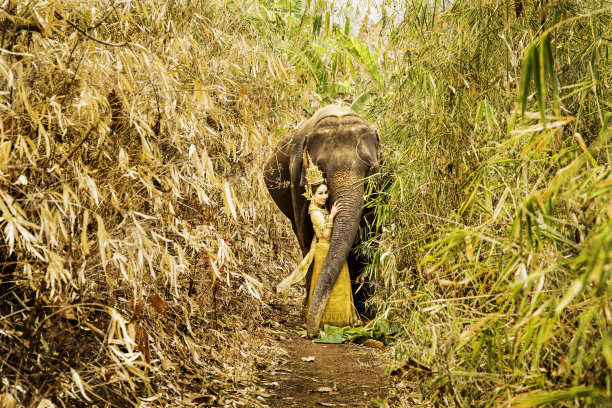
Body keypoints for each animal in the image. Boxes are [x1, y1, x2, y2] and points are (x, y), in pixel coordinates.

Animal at [262, 105, 378, 338]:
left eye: (370, 167)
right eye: (321, 168)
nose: (313, 333)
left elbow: (367, 236)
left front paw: (365, 314)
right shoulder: (296, 174)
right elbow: (306, 234)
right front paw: (307, 311)